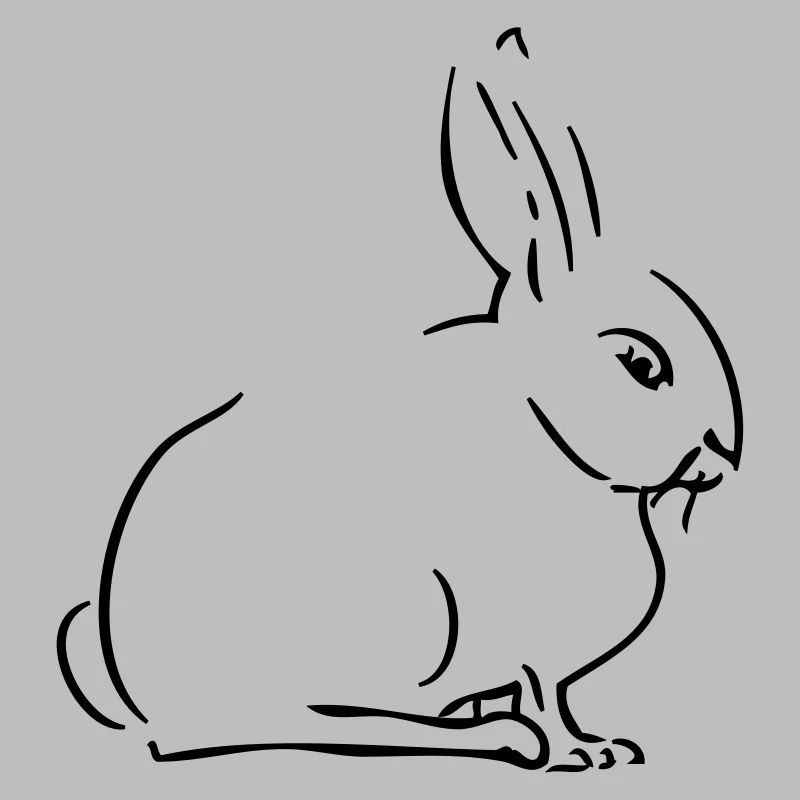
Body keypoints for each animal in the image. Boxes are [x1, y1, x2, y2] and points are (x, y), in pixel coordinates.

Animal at [57, 28, 742, 772]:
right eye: (640, 363)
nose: (722, 458)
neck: (548, 426)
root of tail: (140, 692)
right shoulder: (526, 632)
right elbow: (542, 692)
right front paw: (573, 752)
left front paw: (600, 744)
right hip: (403, 616)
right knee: (280, 725)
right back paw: (487, 736)